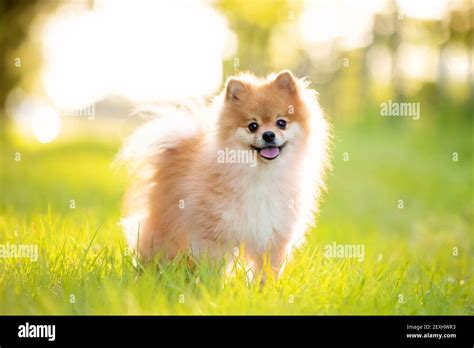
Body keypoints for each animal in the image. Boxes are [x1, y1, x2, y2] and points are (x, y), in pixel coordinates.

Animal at [118, 70, 330, 278]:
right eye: (252, 126)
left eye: (281, 123)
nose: (268, 135)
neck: (260, 174)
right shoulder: (215, 233)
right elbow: (213, 267)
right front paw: (212, 286)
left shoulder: (273, 234)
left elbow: (266, 273)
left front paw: (264, 288)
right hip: (168, 226)